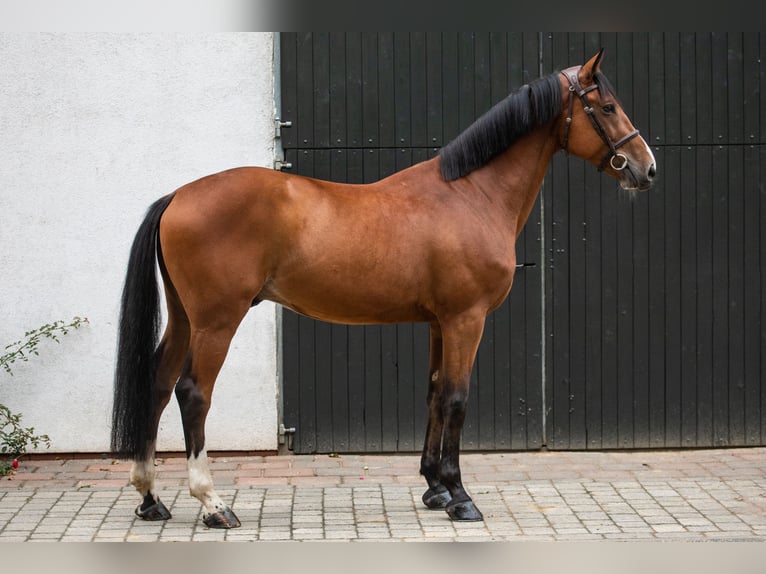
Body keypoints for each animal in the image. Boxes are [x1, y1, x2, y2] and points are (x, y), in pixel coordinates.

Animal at [111, 50, 656, 532]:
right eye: (607, 107)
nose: (645, 168)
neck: (471, 195)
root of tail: (179, 195)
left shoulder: (439, 323)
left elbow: (435, 392)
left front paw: (435, 489)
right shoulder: (466, 319)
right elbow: (457, 398)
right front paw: (461, 497)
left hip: (184, 318)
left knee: (158, 383)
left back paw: (150, 498)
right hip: (217, 321)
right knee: (193, 393)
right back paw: (213, 504)